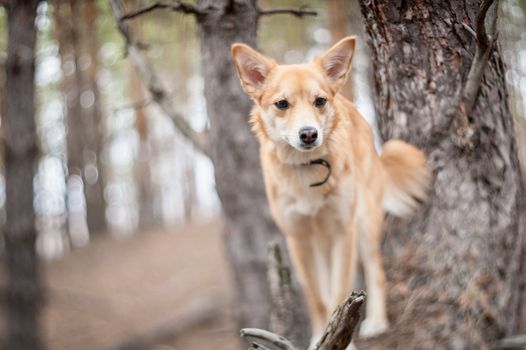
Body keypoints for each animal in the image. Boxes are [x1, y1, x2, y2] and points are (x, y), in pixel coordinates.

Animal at [233, 37, 432, 344]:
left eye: (320, 101)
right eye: (282, 104)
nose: (308, 134)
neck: (307, 169)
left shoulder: (343, 231)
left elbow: (340, 291)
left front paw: (342, 339)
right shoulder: (298, 238)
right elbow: (317, 297)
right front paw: (319, 336)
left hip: (363, 222)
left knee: (375, 271)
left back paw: (376, 321)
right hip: (320, 242)